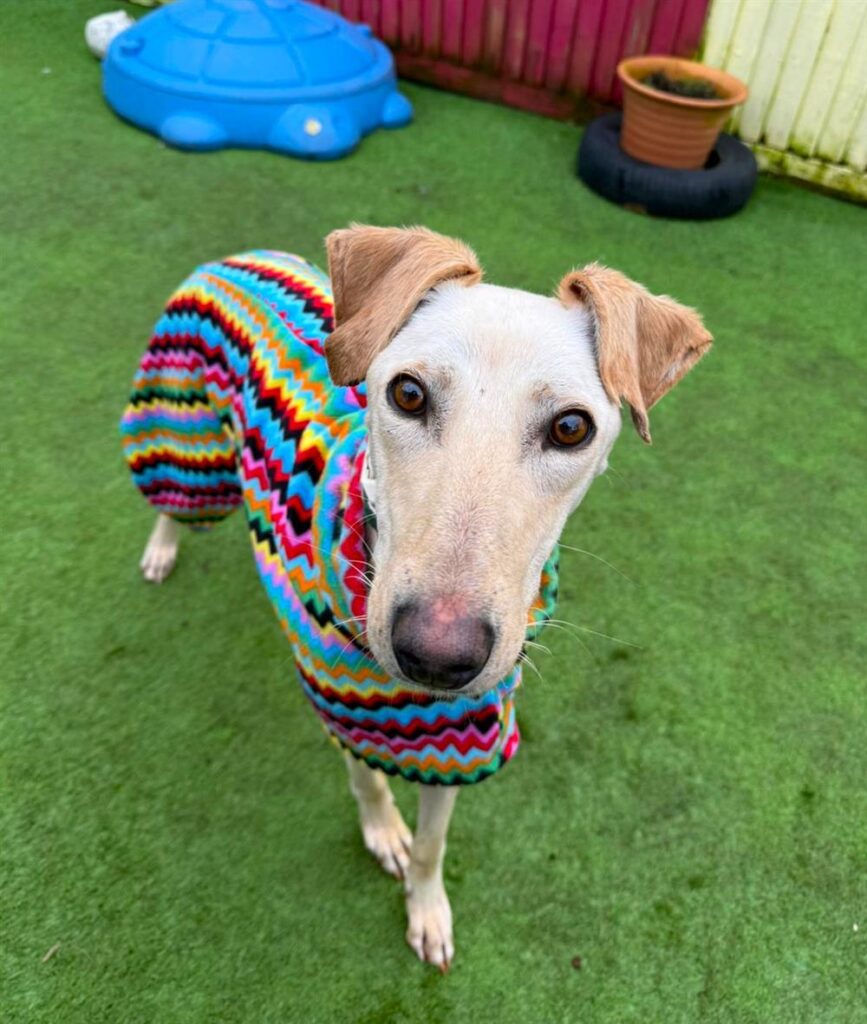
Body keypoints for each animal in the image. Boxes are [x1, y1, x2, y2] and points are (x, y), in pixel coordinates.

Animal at [121, 225, 711, 969]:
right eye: (406, 392)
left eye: (571, 427)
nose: (435, 656)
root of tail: (239, 257)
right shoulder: (343, 700)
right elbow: (368, 778)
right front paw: (383, 832)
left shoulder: (460, 729)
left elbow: (434, 839)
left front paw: (426, 910)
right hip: (183, 433)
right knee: (171, 497)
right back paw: (161, 547)